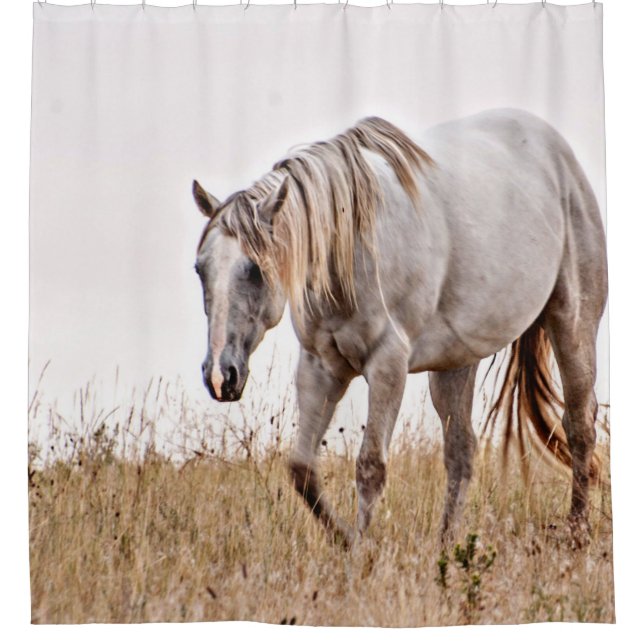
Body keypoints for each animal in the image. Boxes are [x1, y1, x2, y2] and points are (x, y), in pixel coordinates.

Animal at [192, 109, 608, 547]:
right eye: (199, 268)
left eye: (255, 269)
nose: (220, 375)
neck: (352, 251)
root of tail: (557, 151)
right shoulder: (319, 368)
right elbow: (302, 469)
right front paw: (345, 539)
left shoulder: (387, 367)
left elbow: (370, 467)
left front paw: (362, 551)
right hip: (456, 363)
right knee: (461, 451)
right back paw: (446, 545)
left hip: (572, 324)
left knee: (579, 425)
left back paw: (577, 531)